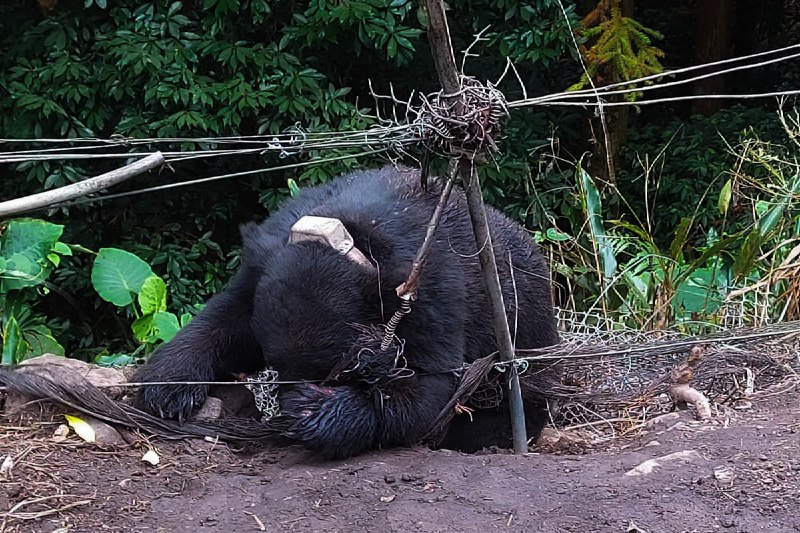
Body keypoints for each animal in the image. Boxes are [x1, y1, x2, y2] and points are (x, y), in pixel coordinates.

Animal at [131, 164, 560, 459]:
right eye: (276, 366)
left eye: (332, 371)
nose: (286, 402)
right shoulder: (266, 258)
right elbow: (227, 316)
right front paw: (167, 388)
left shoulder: (434, 293)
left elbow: (429, 382)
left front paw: (317, 415)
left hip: (526, 328)